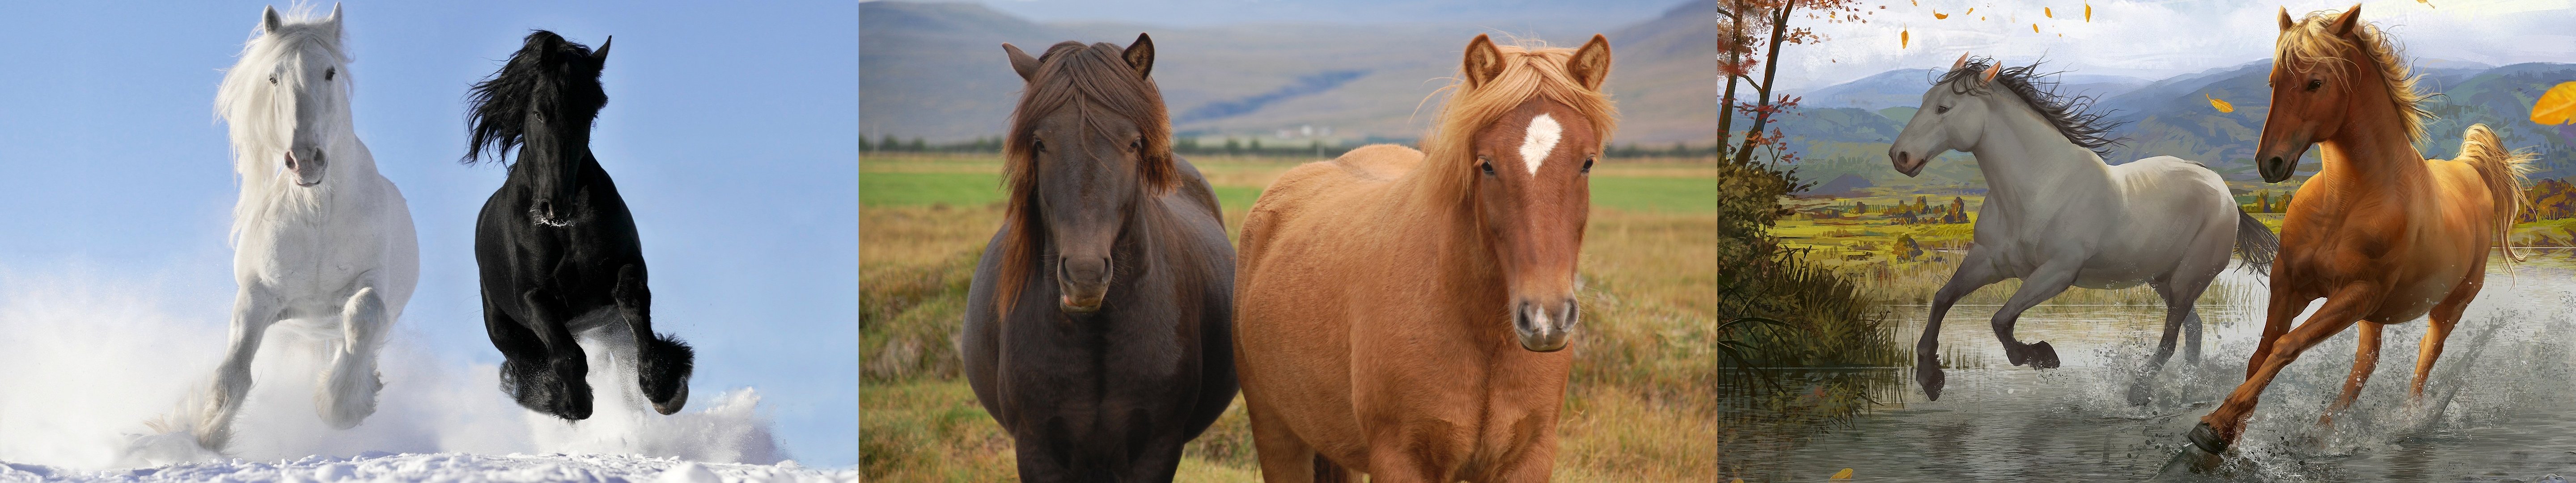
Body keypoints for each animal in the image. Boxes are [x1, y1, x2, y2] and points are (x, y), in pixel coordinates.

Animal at [190, 4, 419, 451]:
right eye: (273, 77)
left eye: (330, 72)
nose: (305, 159)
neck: (317, 215)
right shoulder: (258, 295)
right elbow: (232, 373)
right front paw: (206, 436)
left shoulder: (373, 283)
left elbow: (365, 313)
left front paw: (340, 406)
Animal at [463, 30, 694, 422]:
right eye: (540, 112)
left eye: (588, 113)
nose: (555, 205)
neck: (563, 231)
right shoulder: (533, 298)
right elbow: (567, 356)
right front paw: (570, 401)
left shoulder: (626, 266)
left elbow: (633, 302)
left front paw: (664, 386)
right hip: (507, 332)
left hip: (609, 329)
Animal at [1232, 34, 1615, 482]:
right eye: (1487, 165)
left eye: (1587, 162)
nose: (1545, 318)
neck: (1482, 331)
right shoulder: (1401, 460)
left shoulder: (1528, 459)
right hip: (1278, 436)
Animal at [1887, 54, 2279, 403]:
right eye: (1924, 101)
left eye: (1944, 108)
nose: (1899, 157)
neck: (2038, 188)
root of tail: (2225, 193)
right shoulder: (1989, 261)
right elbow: (1943, 299)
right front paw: (1930, 378)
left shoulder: (2058, 273)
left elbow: (2001, 320)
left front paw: (2042, 355)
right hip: (2163, 279)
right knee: (2193, 330)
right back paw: (2186, 394)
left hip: (2188, 279)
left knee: (2171, 338)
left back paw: (2140, 392)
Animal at [2186, 5, 2531, 453]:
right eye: (2274, 82)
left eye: (2316, 83)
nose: (2270, 163)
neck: (2343, 204)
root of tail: (2471, 170)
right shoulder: (2290, 283)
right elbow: (2261, 355)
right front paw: (2227, 431)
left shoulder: (2356, 293)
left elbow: (2286, 347)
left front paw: (2216, 427)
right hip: (2374, 317)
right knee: (2366, 364)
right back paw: (2322, 431)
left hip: (2449, 304)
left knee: (2426, 355)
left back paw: (2404, 423)